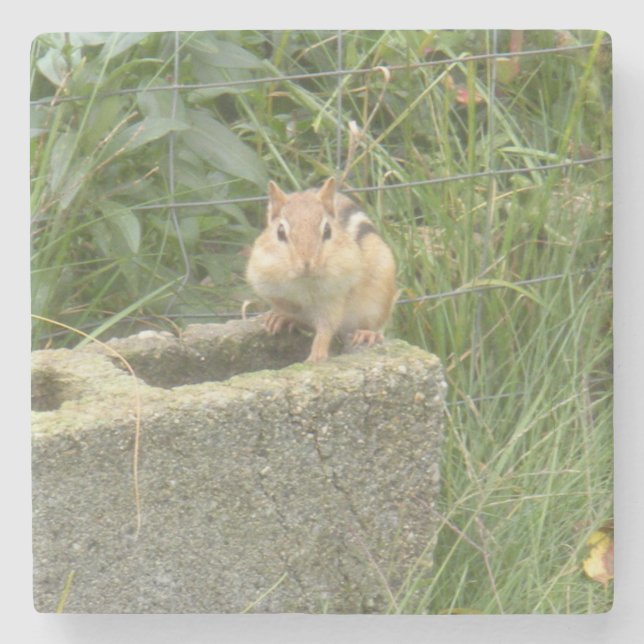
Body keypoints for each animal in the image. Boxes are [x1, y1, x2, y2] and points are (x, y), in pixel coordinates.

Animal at [246, 177, 397, 362]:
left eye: (327, 230)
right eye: (280, 232)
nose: (307, 264)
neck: (304, 282)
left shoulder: (333, 297)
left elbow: (326, 328)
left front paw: (316, 356)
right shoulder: (266, 280)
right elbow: (289, 307)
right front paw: (281, 315)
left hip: (378, 299)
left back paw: (367, 334)